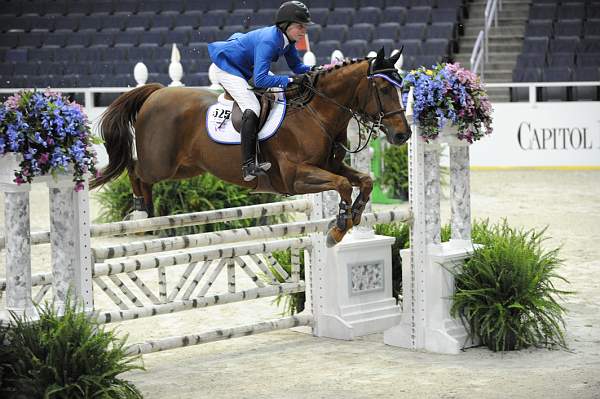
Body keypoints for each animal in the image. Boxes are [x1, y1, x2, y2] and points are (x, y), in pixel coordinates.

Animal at [91, 47, 410, 247]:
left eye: (401, 86)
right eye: (383, 89)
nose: (402, 135)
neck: (315, 112)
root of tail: (155, 93)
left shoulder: (329, 166)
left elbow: (364, 181)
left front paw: (354, 215)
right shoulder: (296, 177)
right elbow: (343, 184)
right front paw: (339, 227)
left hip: (186, 168)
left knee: (140, 173)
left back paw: (146, 211)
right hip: (161, 164)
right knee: (135, 169)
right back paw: (140, 213)